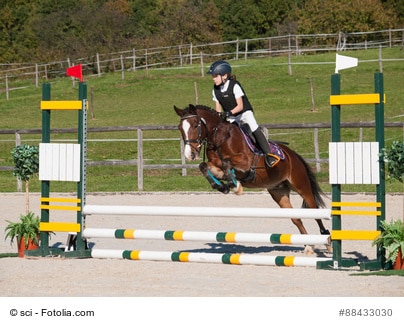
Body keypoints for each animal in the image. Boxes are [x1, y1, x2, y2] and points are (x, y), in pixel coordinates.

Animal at [174, 104, 332, 254]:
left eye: (195, 125)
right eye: (180, 128)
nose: (190, 154)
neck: (220, 138)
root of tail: (294, 156)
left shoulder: (245, 163)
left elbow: (226, 163)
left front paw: (235, 186)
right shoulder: (215, 166)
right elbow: (204, 166)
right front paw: (223, 186)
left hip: (301, 186)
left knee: (315, 212)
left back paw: (327, 242)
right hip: (278, 192)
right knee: (296, 218)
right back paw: (309, 245)